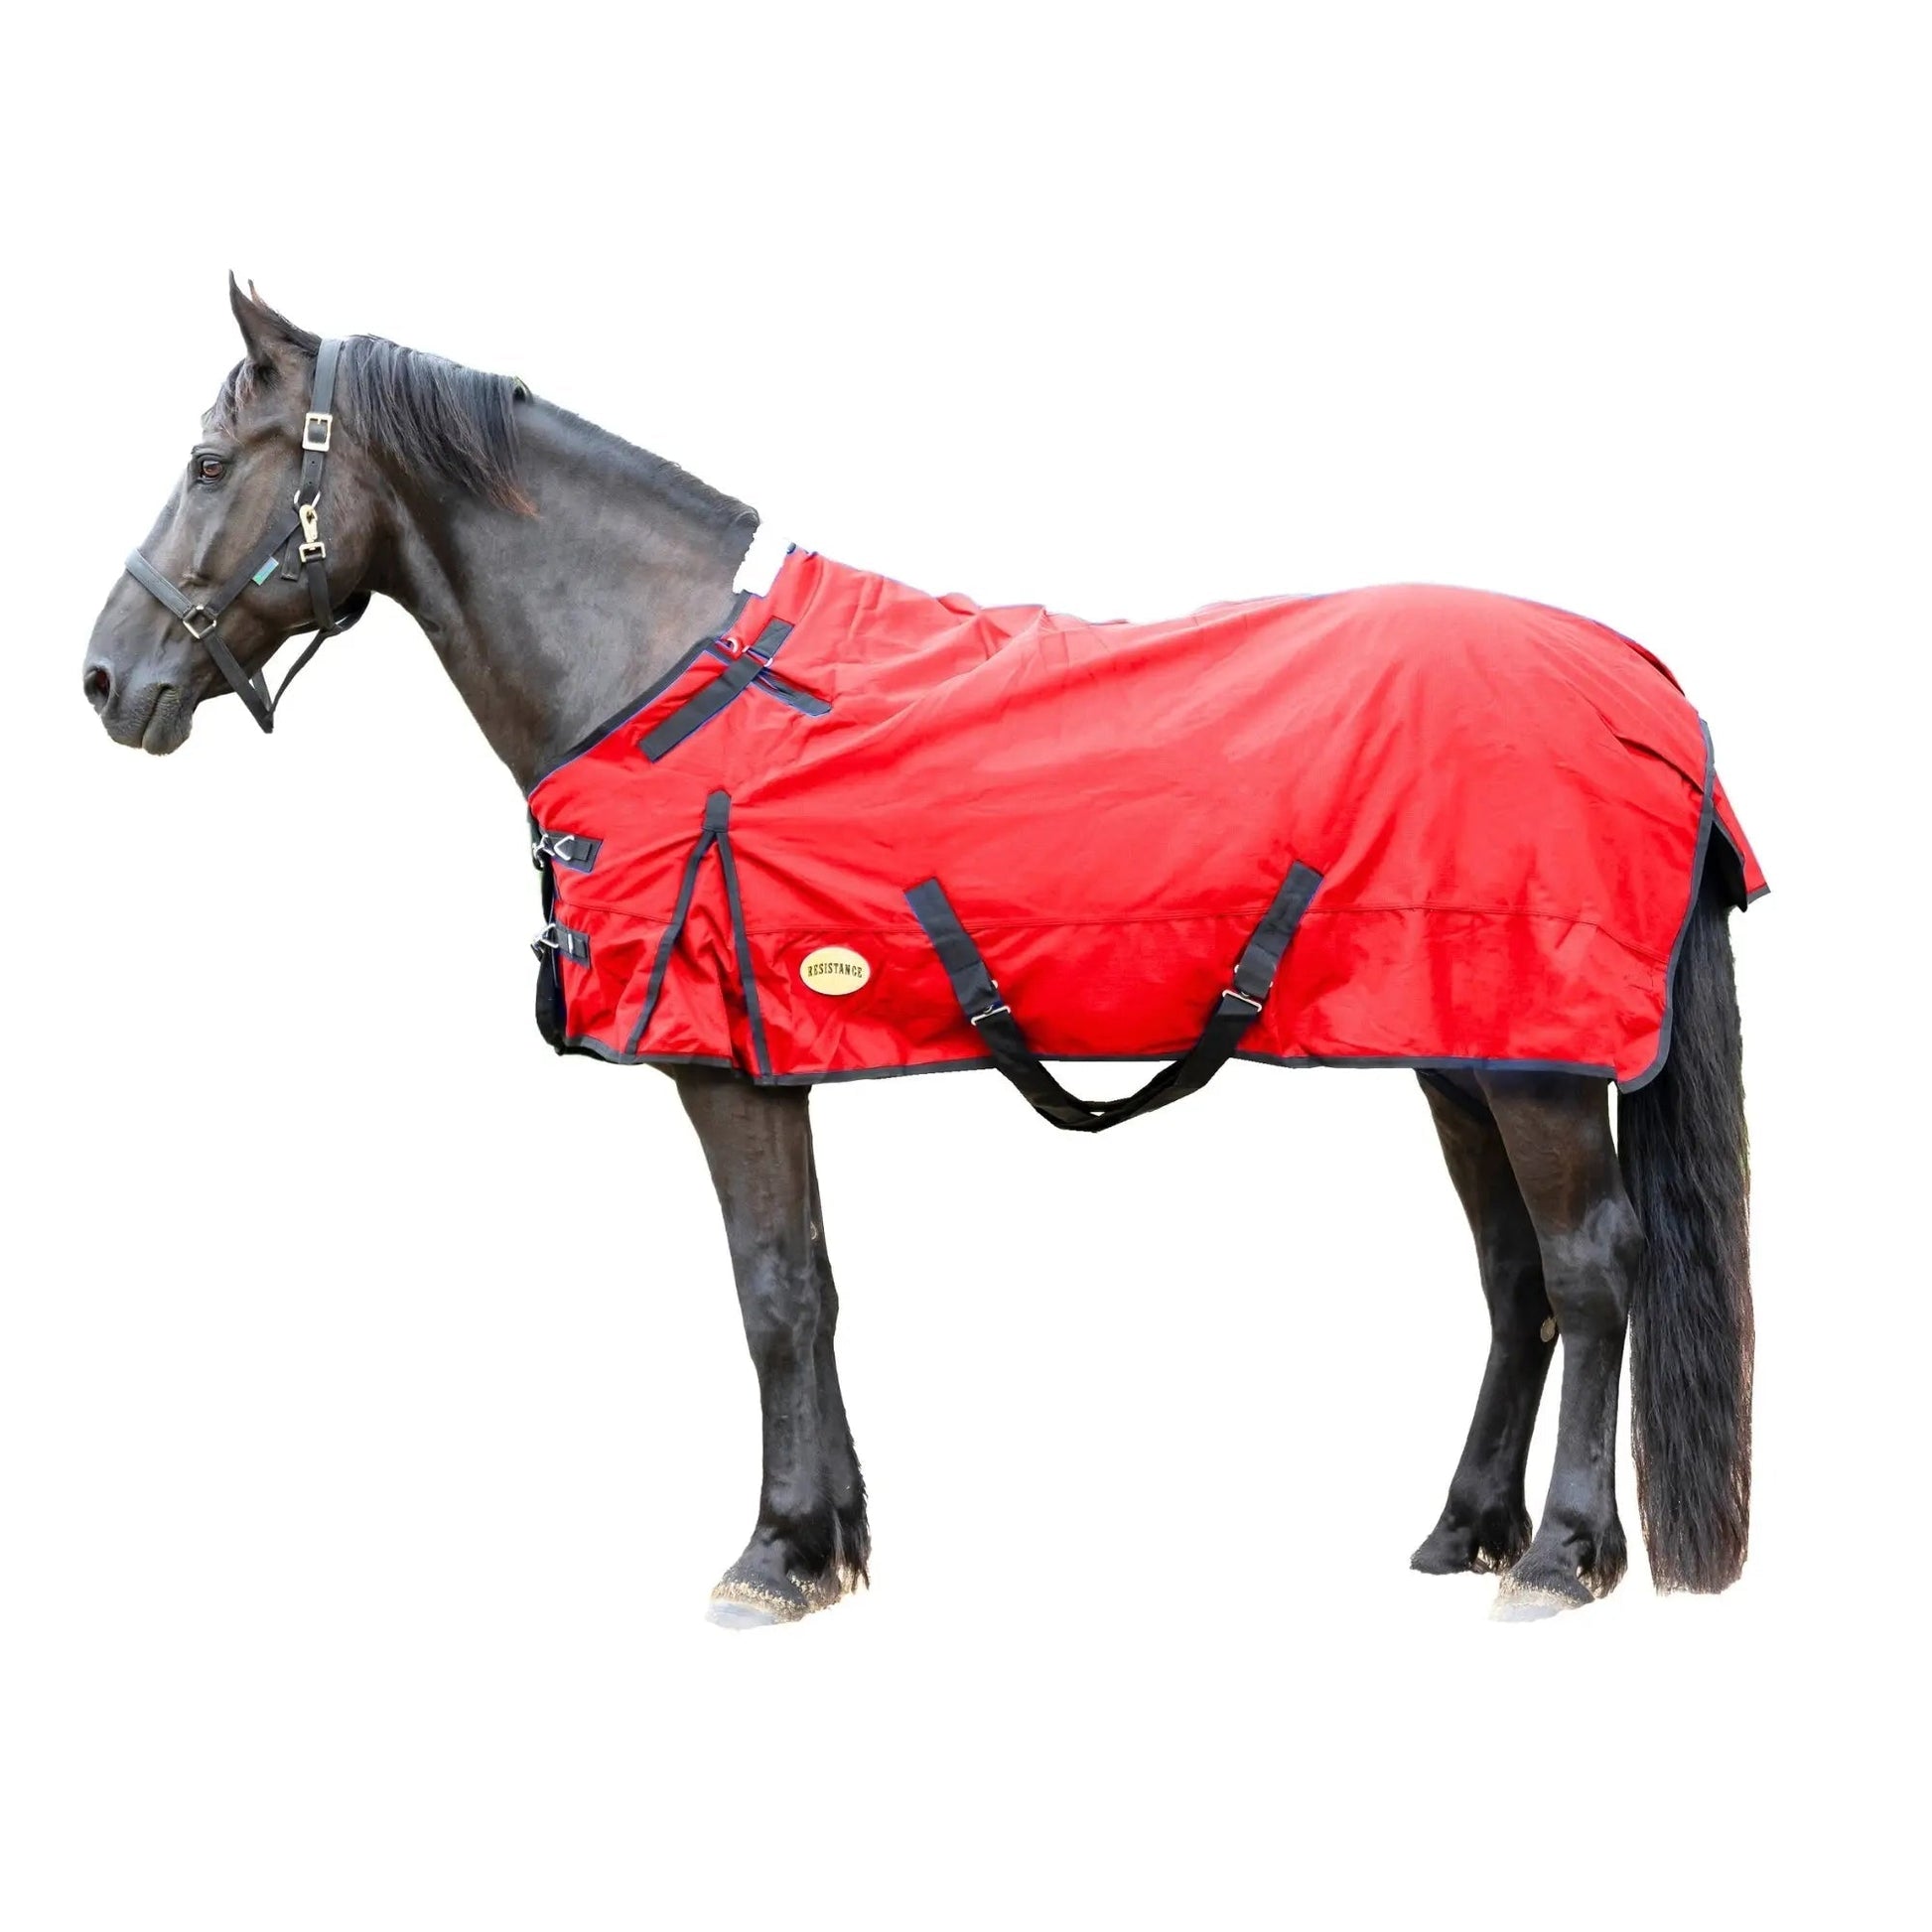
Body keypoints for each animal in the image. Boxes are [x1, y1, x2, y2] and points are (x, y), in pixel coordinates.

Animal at [82, 279, 1757, 1625]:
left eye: (207, 463)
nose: (104, 676)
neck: (661, 669)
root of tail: (1643, 681)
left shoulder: (721, 1067)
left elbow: (768, 1292)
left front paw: (770, 1557)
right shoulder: (773, 1059)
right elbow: (815, 1285)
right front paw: (829, 1542)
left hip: (1536, 1064)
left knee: (1590, 1269)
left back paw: (1560, 1555)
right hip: (1459, 1048)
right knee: (1513, 1275)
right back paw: (1464, 1528)